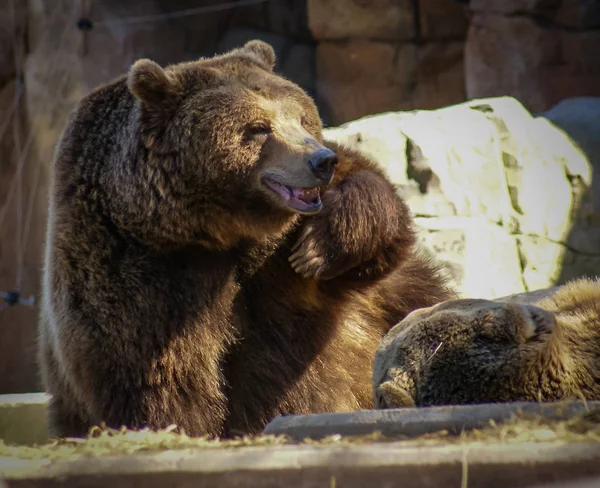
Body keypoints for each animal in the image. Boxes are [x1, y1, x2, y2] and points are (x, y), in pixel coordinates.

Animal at [38, 41, 450, 438]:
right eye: (258, 127)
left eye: (302, 118)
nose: (321, 160)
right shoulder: (138, 272)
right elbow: (163, 376)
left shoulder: (276, 254)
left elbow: (376, 214)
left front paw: (316, 249)